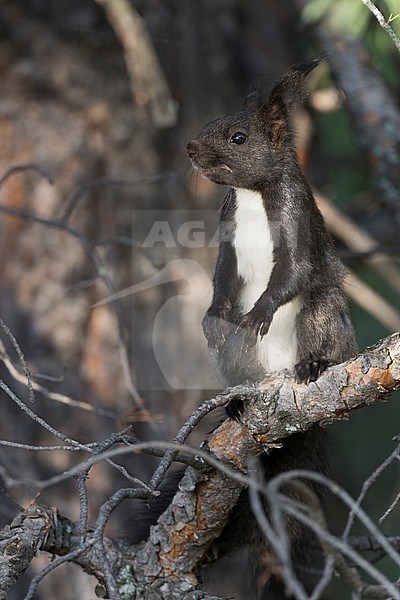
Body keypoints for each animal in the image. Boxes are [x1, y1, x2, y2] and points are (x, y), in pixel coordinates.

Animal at [130, 57, 358, 600]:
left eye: (238, 137)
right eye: (212, 123)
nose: (191, 149)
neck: (252, 195)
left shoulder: (298, 226)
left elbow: (292, 273)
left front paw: (260, 312)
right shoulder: (227, 235)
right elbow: (221, 279)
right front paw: (214, 316)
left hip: (325, 315)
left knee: (320, 325)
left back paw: (314, 364)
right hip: (235, 361)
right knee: (234, 358)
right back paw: (235, 402)